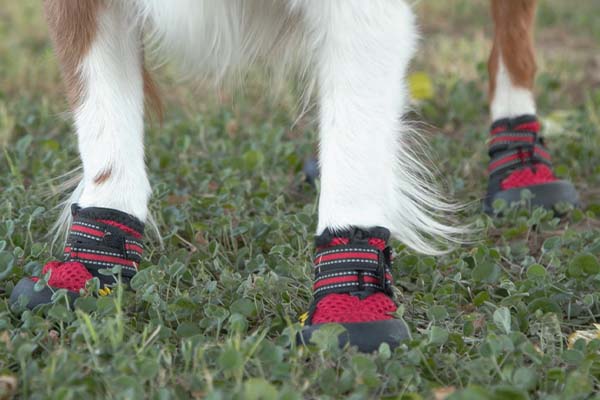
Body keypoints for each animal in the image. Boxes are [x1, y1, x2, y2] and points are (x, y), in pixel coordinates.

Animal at [10, 0, 576, 350]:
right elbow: (105, 127)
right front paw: (88, 263)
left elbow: (355, 152)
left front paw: (350, 302)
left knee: (512, 42)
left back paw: (523, 168)